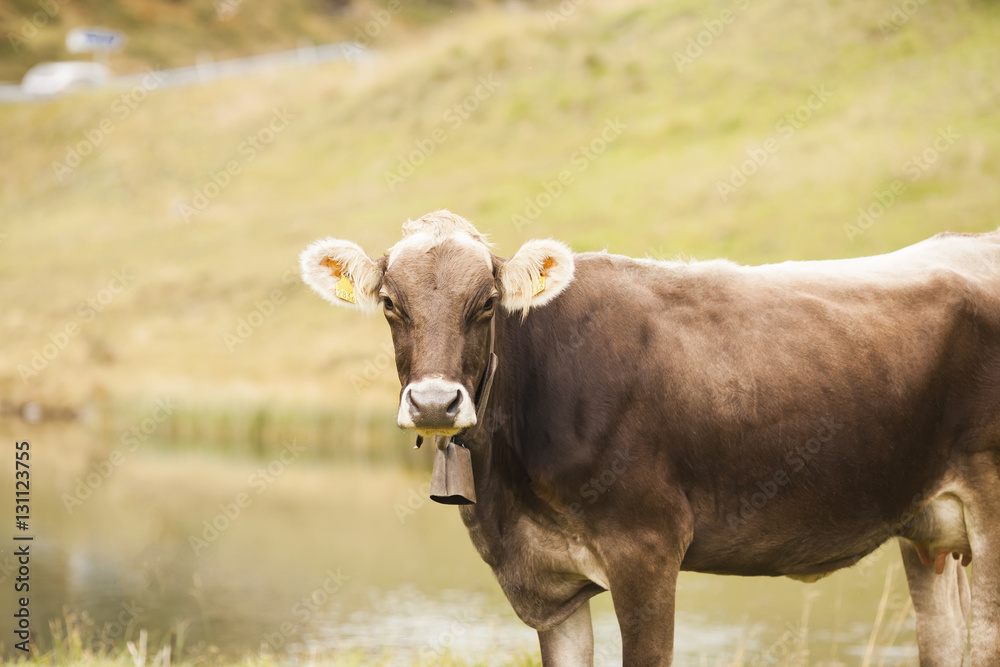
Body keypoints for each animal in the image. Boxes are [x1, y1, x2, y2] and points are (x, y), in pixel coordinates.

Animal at [300, 210, 1000, 666]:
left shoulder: (648, 549)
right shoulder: (549, 584)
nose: (434, 402)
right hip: (927, 527)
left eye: (487, 303)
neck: (509, 500)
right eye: (391, 303)